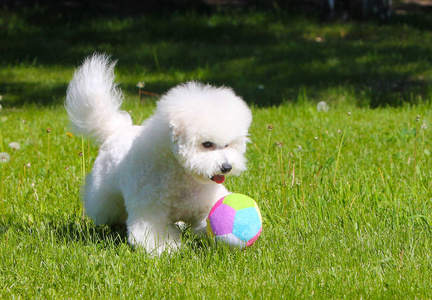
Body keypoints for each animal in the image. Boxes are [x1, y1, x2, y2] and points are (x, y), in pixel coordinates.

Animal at [65, 54, 251, 253]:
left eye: (227, 145)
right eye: (207, 144)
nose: (226, 167)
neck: (181, 176)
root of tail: (116, 129)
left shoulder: (207, 203)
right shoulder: (150, 211)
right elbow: (153, 232)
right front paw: (166, 249)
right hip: (105, 192)